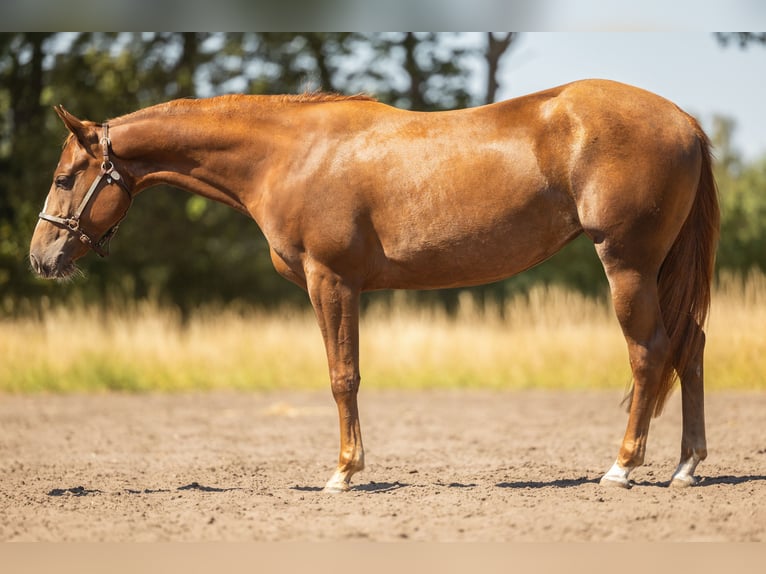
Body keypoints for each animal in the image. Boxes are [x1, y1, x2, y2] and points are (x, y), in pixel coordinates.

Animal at [29, 79, 719, 492]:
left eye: (65, 178)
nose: (41, 258)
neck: (289, 155)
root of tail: (684, 120)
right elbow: (348, 375)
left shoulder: (330, 281)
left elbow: (343, 376)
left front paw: (343, 473)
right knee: (691, 349)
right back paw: (685, 467)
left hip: (627, 264)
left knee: (650, 354)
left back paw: (622, 468)